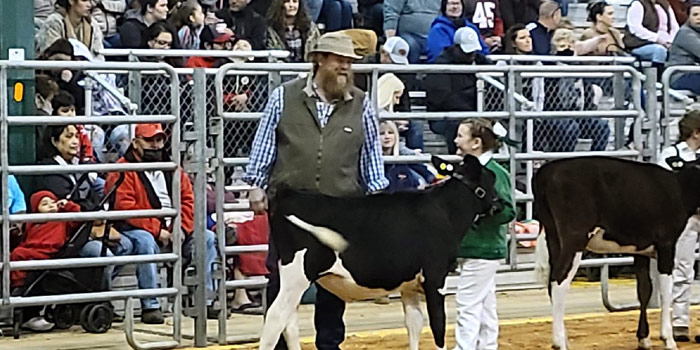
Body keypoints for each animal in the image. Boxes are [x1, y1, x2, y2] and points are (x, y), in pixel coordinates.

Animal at [260, 156, 500, 350]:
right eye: (491, 178)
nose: (502, 205)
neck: (444, 210)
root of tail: (288, 193)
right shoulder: (435, 278)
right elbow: (438, 326)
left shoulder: (409, 284)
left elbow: (414, 324)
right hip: (297, 274)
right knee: (275, 319)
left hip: (289, 278)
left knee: (289, 324)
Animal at [532, 157, 700, 350]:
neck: (679, 188)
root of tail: (547, 170)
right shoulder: (666, 244)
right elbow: (666, 291)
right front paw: (668, 339)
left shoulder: (640, 249)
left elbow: (644, 290)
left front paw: (644, 339)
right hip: (574, 238)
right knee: (559, 281)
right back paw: (559, 342)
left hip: (553, 238)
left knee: (551, 283)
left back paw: (565, 339)